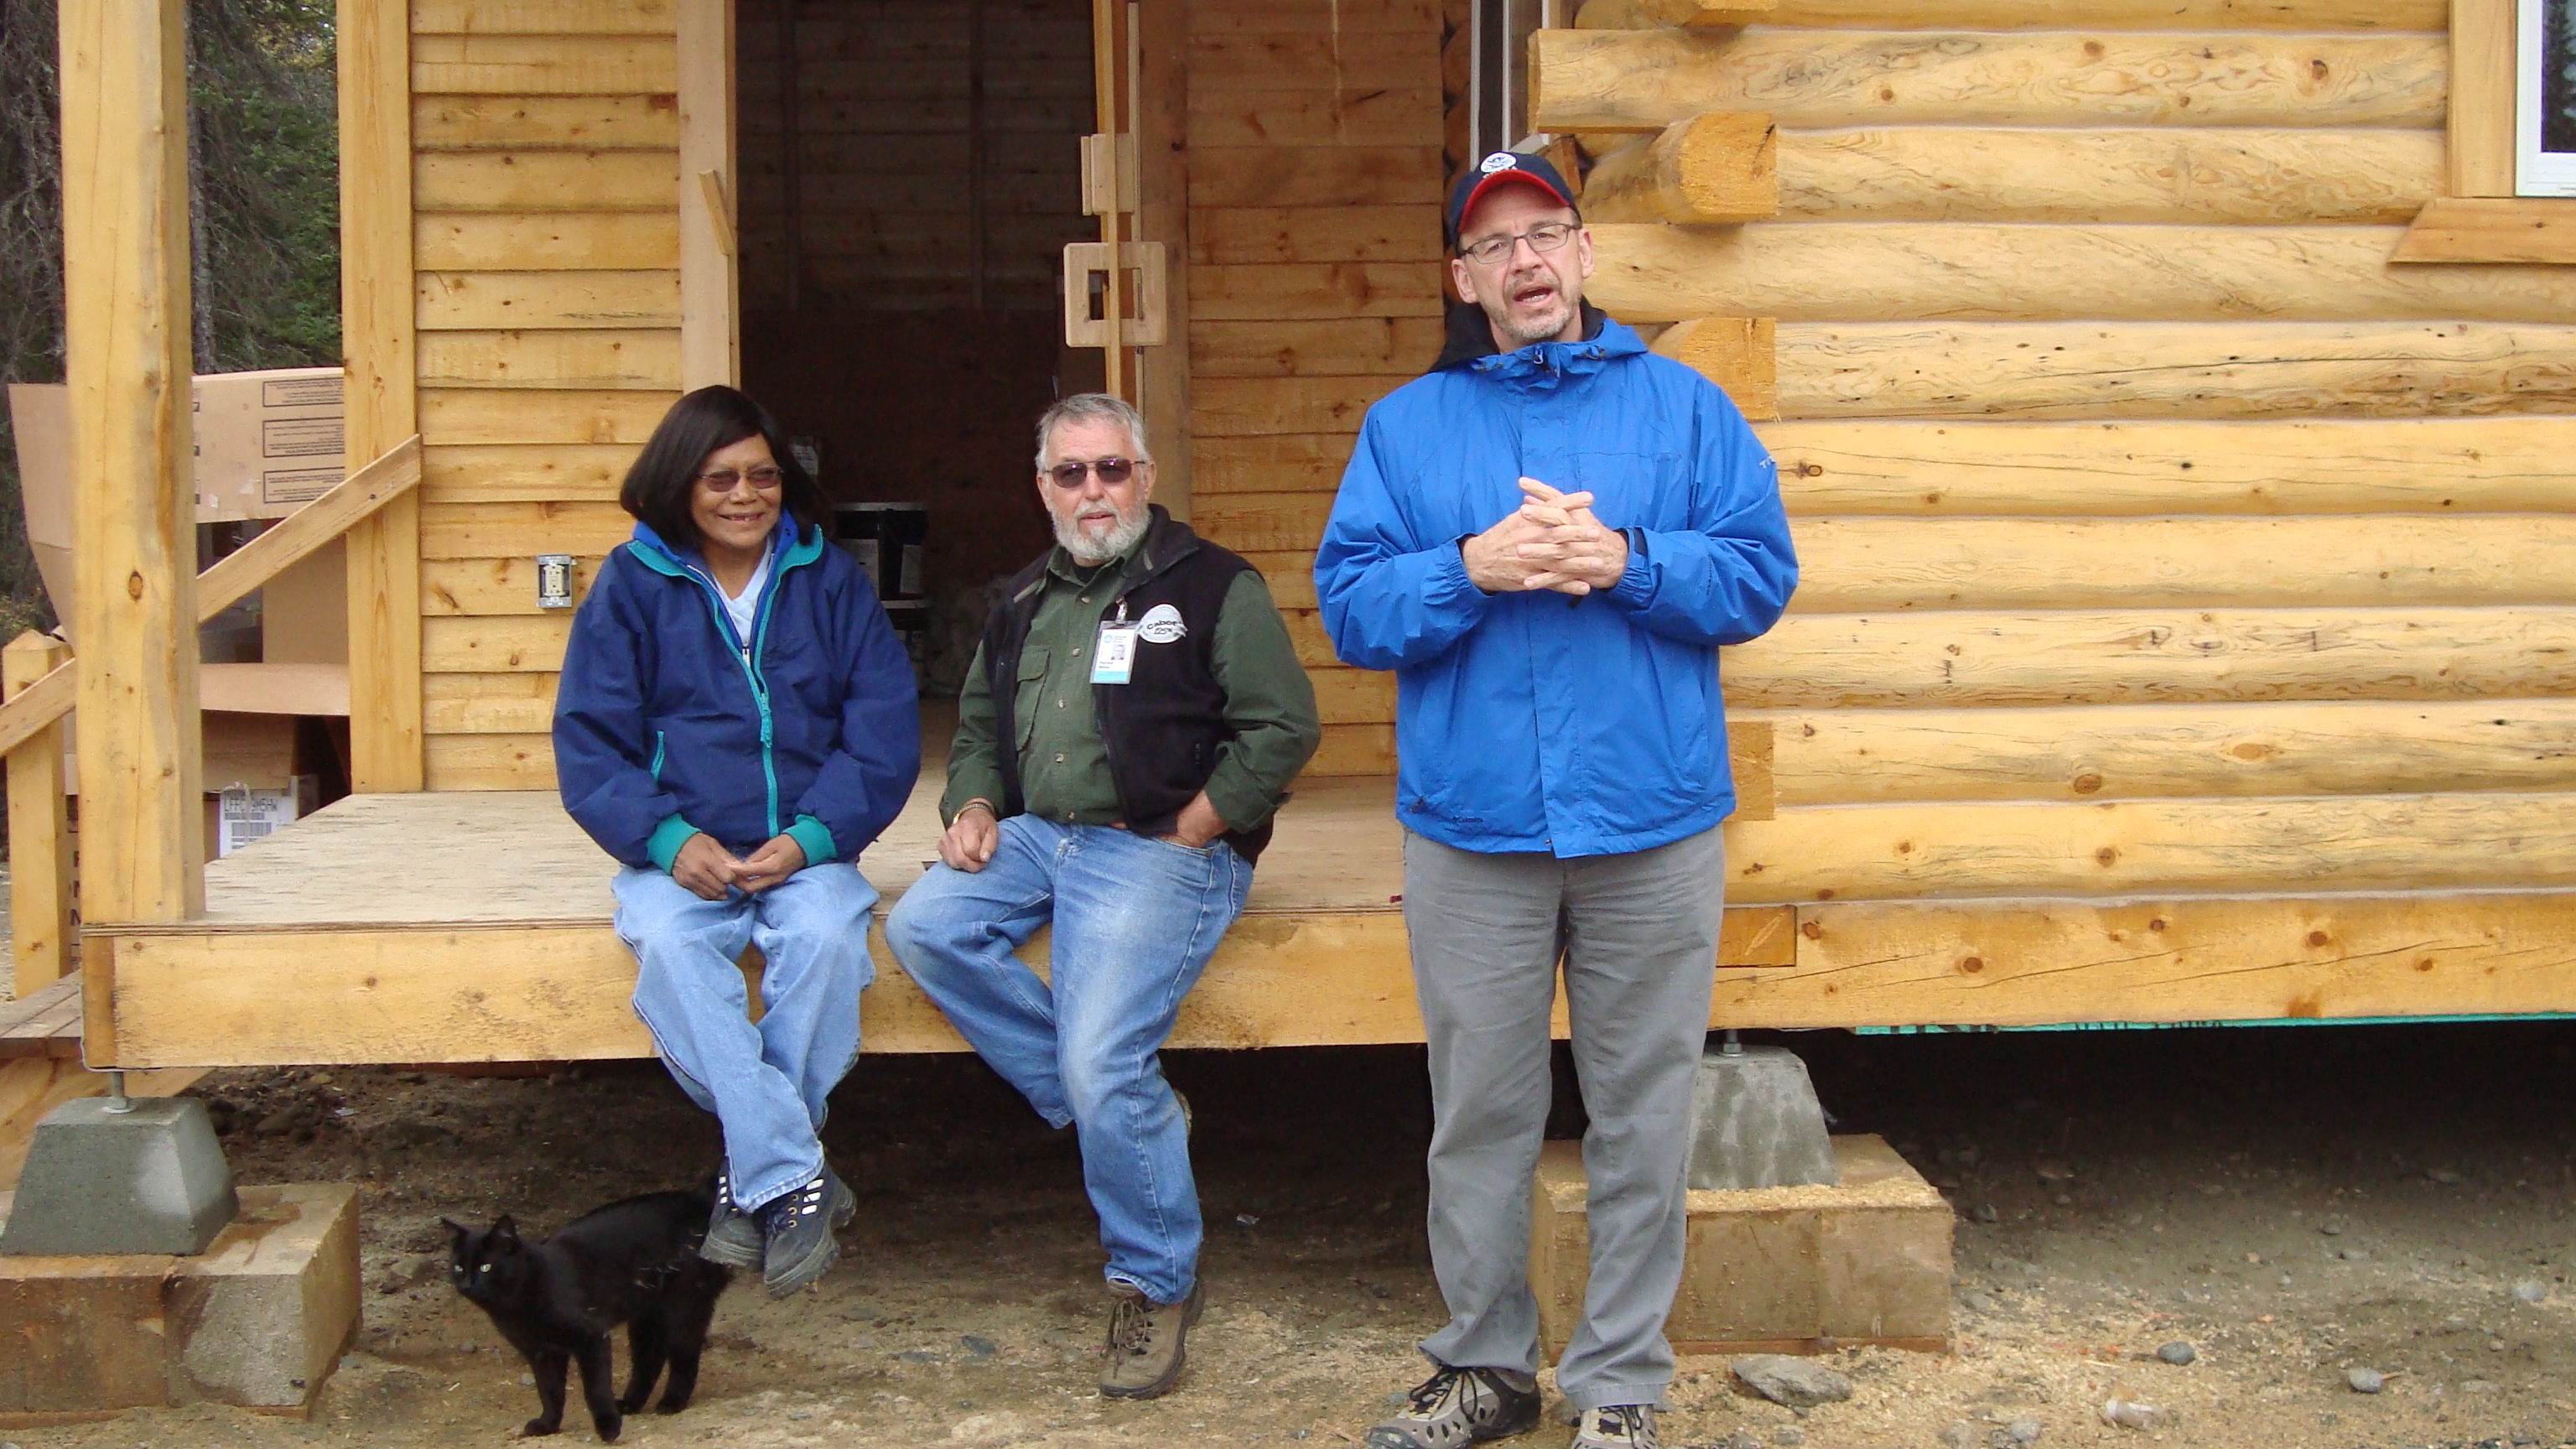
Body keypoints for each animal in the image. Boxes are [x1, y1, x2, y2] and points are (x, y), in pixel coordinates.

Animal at [443, 1186, 734, 1442]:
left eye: (486, 1266)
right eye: (458, 1267)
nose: (467, 1284)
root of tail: (700, 1200)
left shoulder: (591, 1336)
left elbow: (595, 1388)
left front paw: (608, 1428)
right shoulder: (542, 1352)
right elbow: (549, 1391)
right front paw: (548, 1424)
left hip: (683, 1307)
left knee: (685, 1355)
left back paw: (671, 1402)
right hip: (645, 1316)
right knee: (649, 1360)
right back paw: (629, 1404)